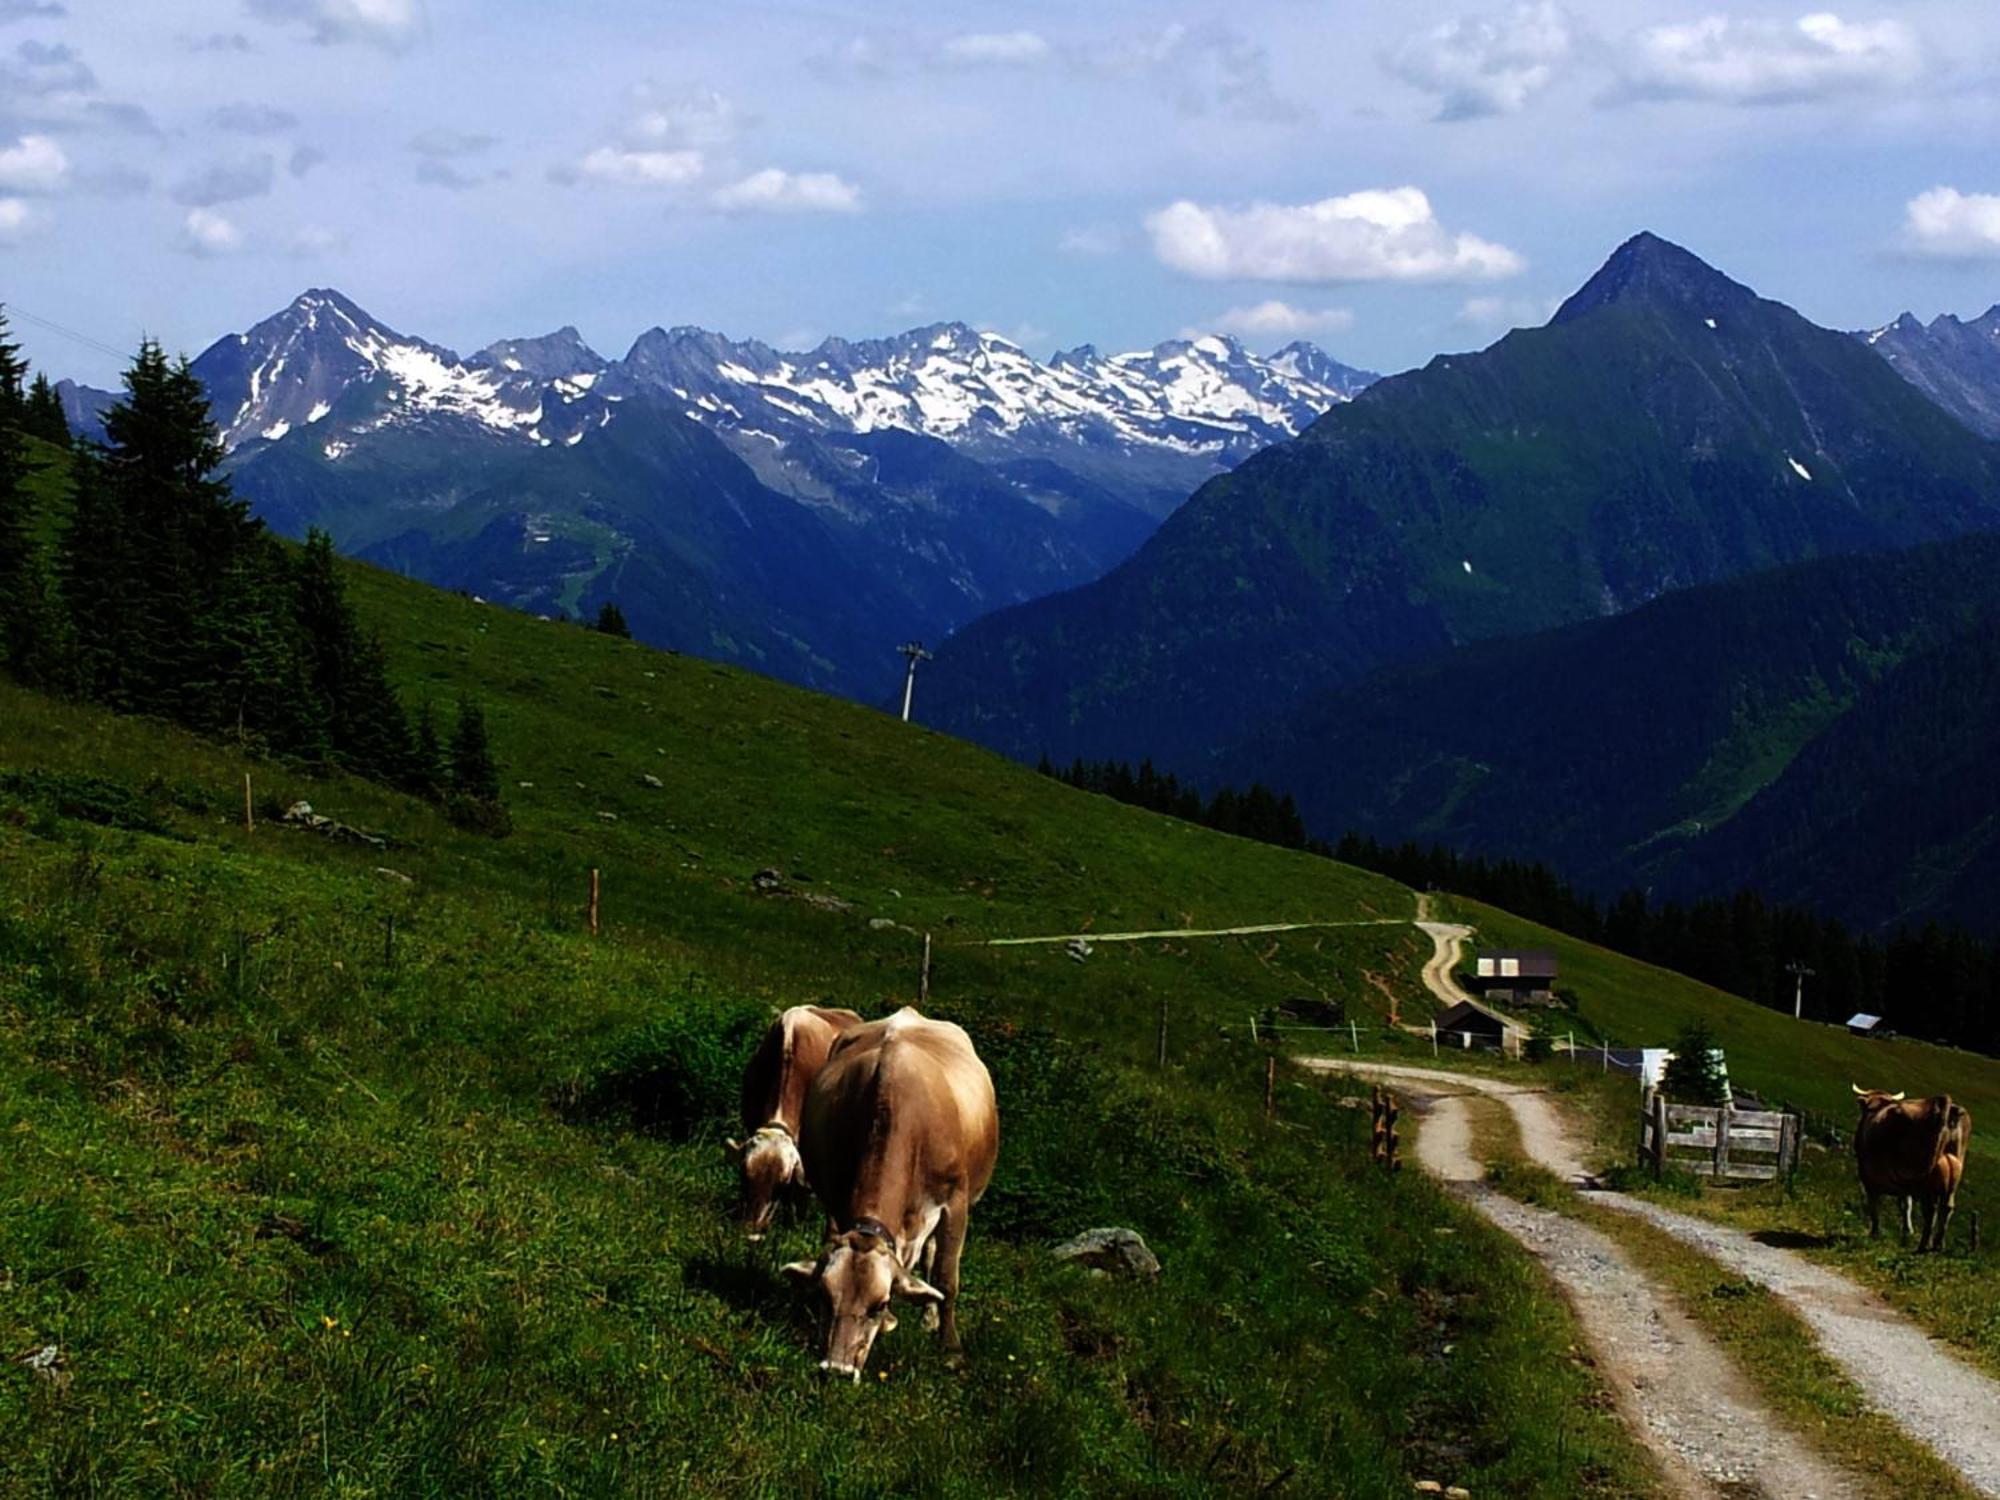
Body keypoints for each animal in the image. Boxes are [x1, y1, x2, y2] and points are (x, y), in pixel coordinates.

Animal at [780, 1012, 1000, 1384]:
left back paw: (930, 1317)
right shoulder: (838, 1198)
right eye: (825, 1296)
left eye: (878, 1305)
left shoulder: (955, 1203)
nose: (837, 1370)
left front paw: (951, 1349)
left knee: (932, 1258)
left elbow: (946, 1278)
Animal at [1848, 1088, 1976, 1248]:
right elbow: (1906, 1205)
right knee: (1946, 1207)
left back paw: (1924, 1245)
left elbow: (1874, 1205)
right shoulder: (1903, 1186)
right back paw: (1938, 1244)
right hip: (1952, 1173)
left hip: (1926, 1181)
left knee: (1931, 1210)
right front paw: (1907, 1231)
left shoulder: (1869, 1179)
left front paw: (1874, 1232)